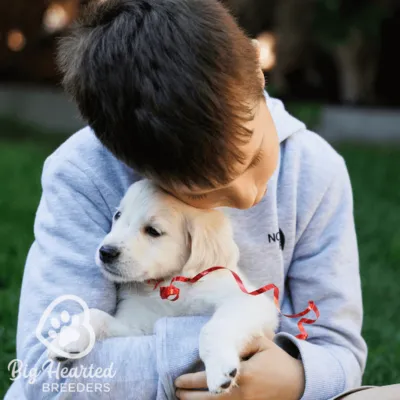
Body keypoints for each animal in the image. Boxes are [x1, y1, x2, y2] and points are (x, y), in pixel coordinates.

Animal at [49, 180, 278, 392]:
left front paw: (219, 369)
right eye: (118, 215)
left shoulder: (249, 301)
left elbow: (212, 327)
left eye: (153, 231)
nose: (105, 252)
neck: (169, 284)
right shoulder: (138, 328)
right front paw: (68, 338)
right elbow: (97, 316)